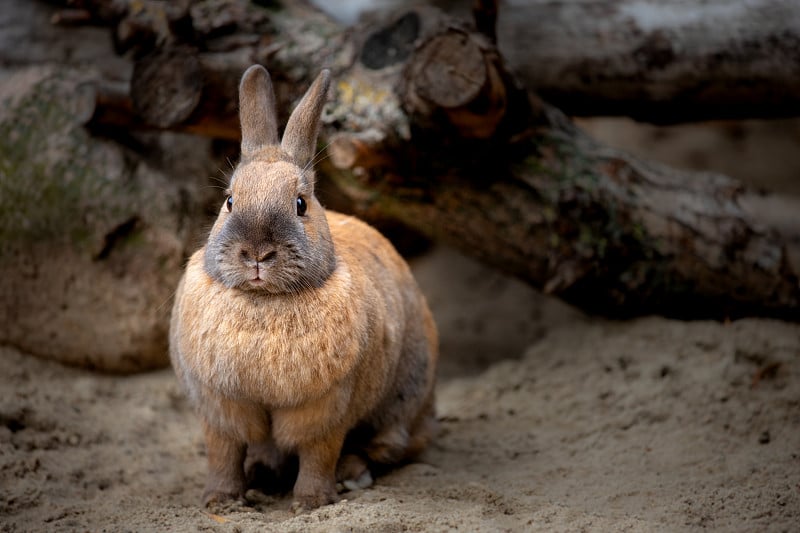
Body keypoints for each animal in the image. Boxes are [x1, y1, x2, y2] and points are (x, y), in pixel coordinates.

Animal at [168, 64, 438, 510]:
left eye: (301, 204)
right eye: (229, 201)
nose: (256, 253)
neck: (264, 301)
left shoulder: (324, 410)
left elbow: (317, 453)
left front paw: (310, 502)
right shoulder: (220, 409)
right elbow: (223, 453)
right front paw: (220, 501)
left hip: (402, 402)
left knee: (389, 448)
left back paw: (350, 474)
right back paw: (263, 472)